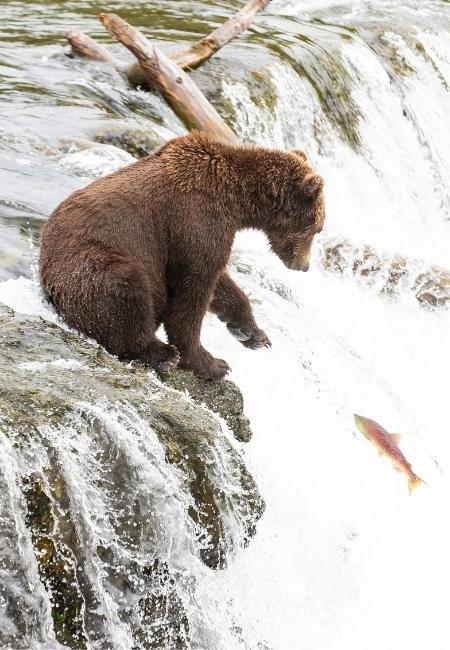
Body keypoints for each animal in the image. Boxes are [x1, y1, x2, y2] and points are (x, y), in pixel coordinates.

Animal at [39, 131, 325, 381]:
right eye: (318, 228)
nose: (305, 265)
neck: (237, 200)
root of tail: (47, 283)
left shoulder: (205, 234)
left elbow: (220, 283)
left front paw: (253, 334)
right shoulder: (194, 220)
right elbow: (192, 294)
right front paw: (212, 363)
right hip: (91, 265)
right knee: (125, 291)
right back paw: (162, 354)